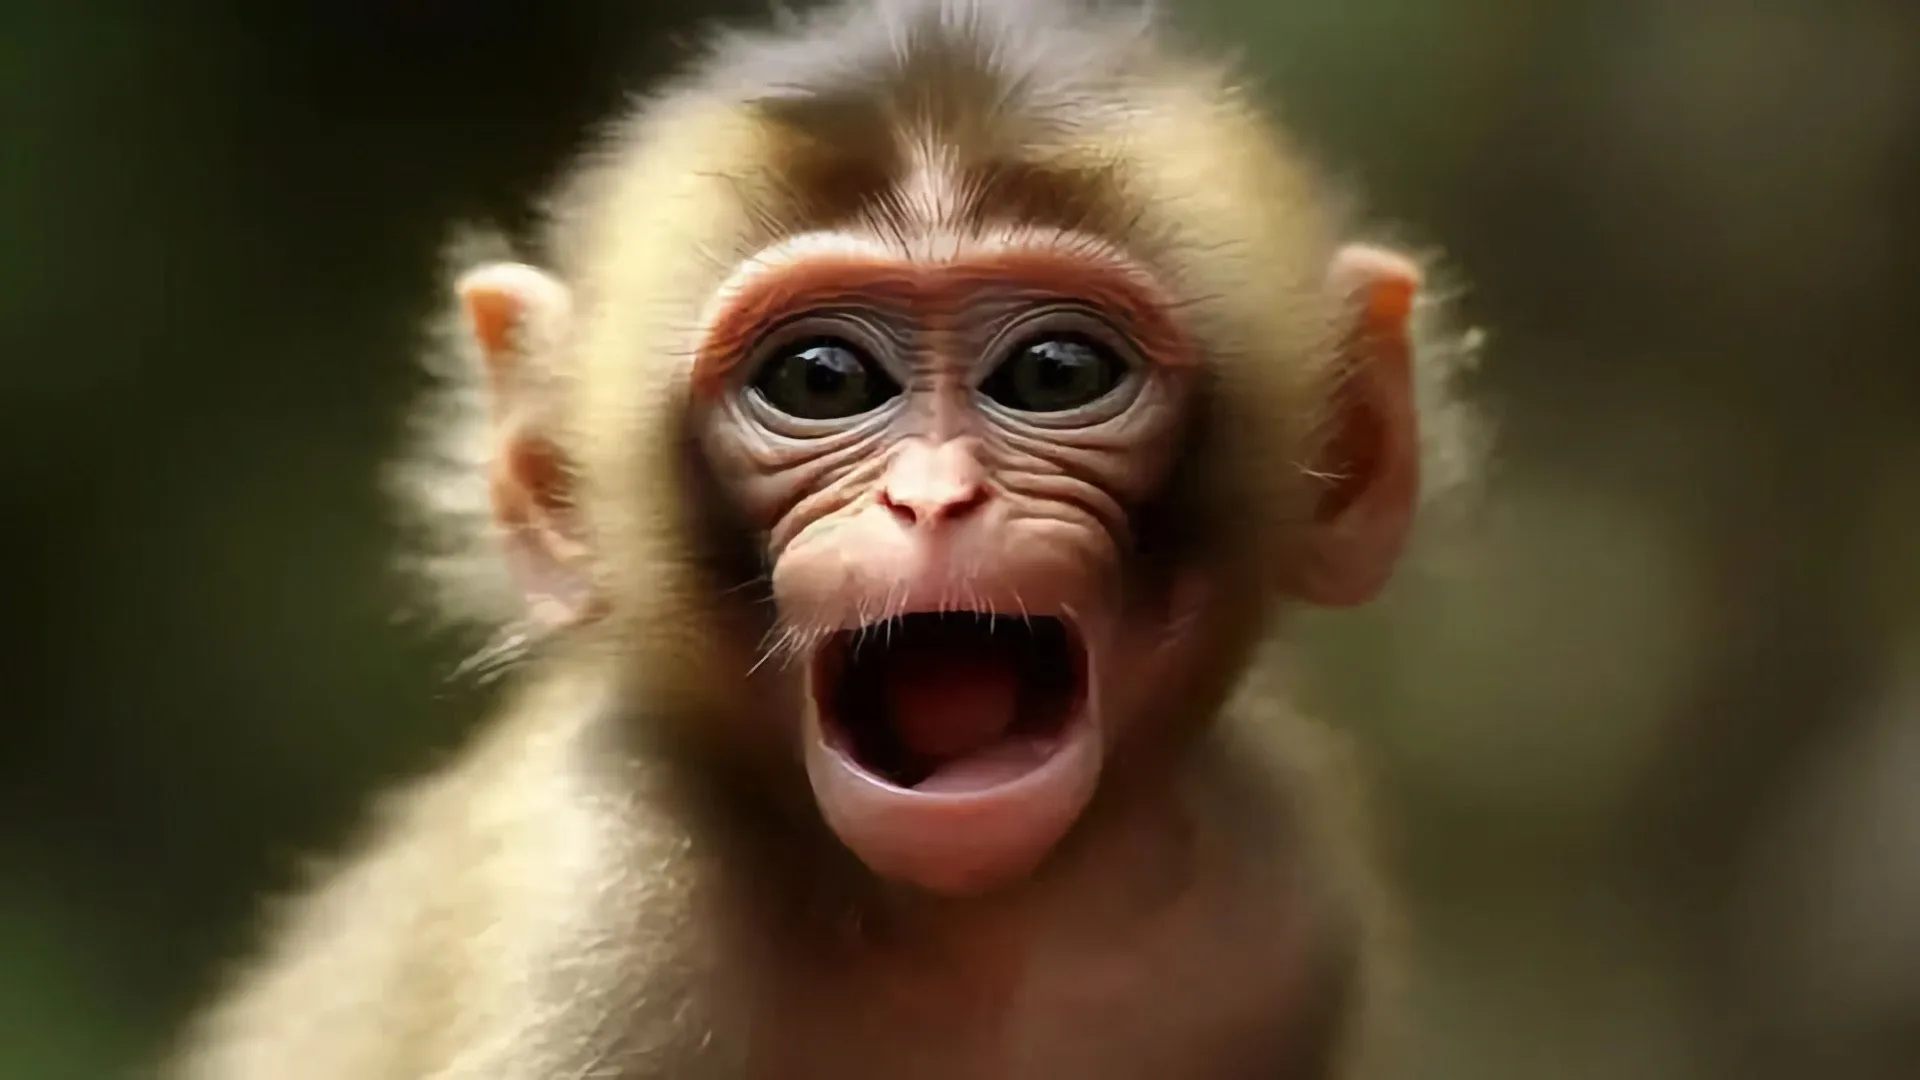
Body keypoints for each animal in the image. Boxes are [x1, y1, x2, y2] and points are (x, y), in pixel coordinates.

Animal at [162, 0, 1481, 1077]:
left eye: (1057, 373)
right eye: (821, 378)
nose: (935, 499)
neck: (963, 927)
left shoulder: (1281, 896)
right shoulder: (602, 920)